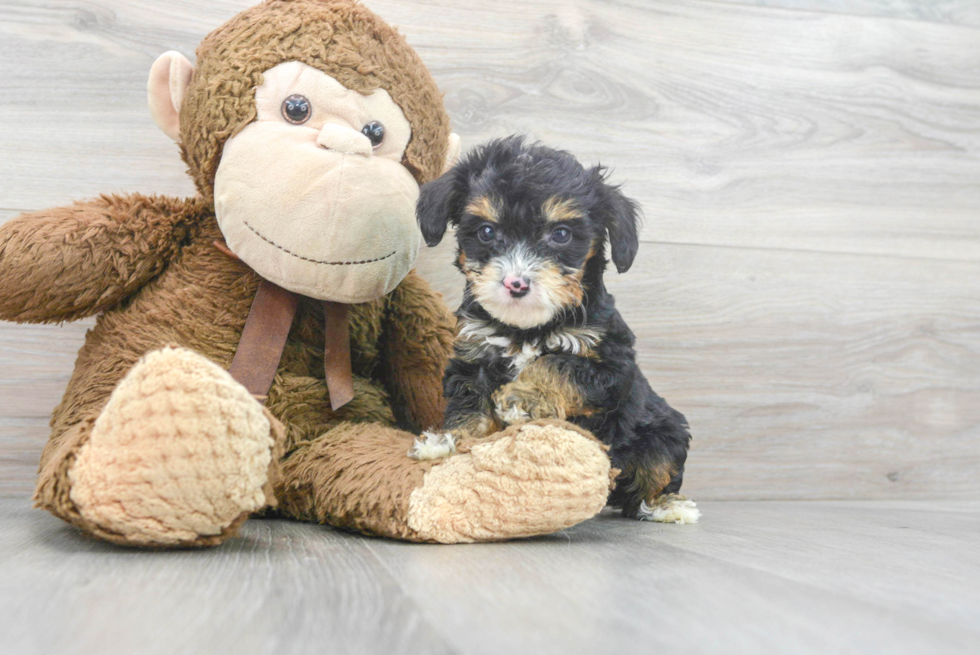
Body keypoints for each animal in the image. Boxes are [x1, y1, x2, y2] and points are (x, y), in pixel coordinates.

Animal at [414, 137, 696, 524]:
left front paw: (522, 398)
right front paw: (448, 442)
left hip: (664, 432)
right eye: (487, 232)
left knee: (654, 475)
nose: (516, 283)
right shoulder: (475, 353)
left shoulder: (611, 367)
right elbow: (468, 403)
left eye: (561, 234)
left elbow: (557, 365)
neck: (527, 329)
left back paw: (668, 506)